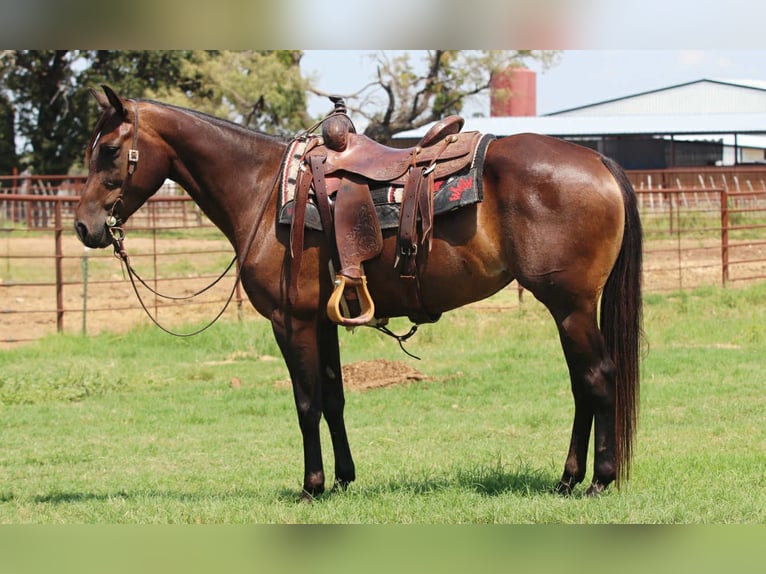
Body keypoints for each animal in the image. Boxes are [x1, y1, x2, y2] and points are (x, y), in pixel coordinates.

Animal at [74, 85, 642, 499]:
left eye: (109, 150)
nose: (84, 226)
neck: (261, 189)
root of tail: (599, 163)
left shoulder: (291, 321)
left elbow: (305, 402)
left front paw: (312, 486)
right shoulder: (323, 321)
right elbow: (334, 398)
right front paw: (344, 479)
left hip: (569, 306)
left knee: (597, 377)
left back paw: (598, 480)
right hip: (570, 310)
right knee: (582, 386)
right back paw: (568, 479)